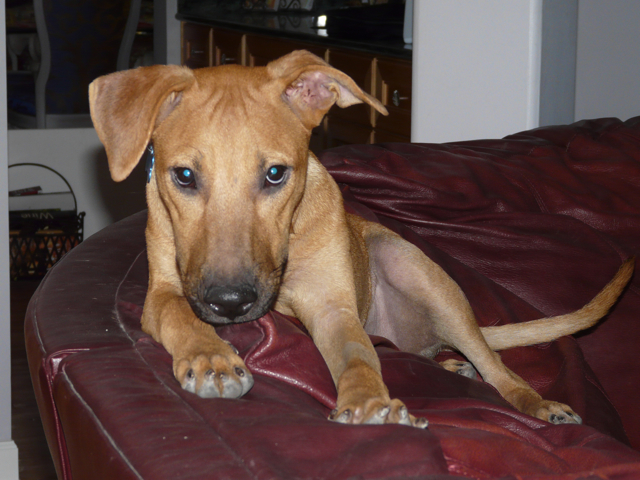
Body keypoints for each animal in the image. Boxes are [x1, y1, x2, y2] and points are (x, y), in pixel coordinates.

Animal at [90, 51, 636, 428]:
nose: (230, 303)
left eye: (275, 174)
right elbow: (179, 314)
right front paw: (211, 359)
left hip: (413, 266)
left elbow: (356, 355)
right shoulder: (164, 289)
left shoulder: (333, 308)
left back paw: (533, 400)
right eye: (183, 175)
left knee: (496, 366)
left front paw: (369, 401)